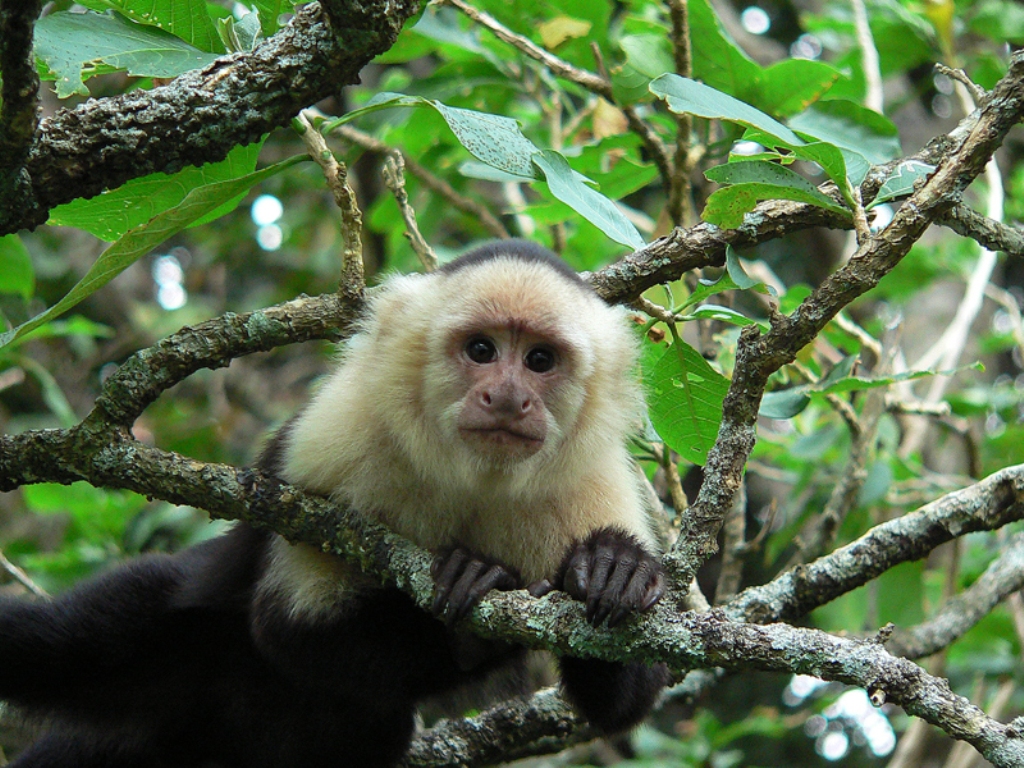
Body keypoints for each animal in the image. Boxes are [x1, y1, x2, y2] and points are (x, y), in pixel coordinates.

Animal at [0, 241, 671, 768]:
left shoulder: (592, 483)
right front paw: (473, 597)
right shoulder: (332, 443)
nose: (507, 397)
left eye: (539, 360)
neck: (474, 478)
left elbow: (625, 700)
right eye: (481, 350)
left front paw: (609, 568)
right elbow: (289, 626)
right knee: (89, 632)